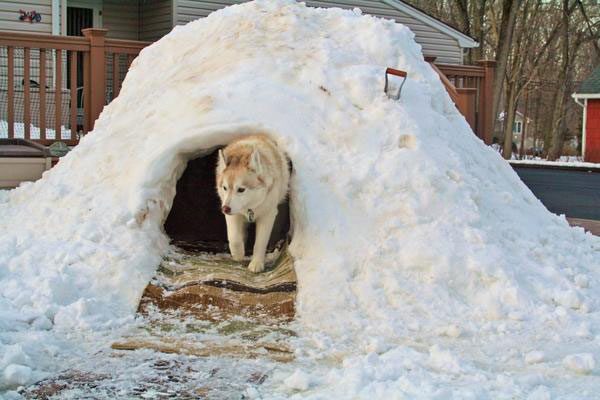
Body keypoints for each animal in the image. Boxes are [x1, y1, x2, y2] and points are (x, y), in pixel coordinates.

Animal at [216, 134, 290, 272]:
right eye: (225, 188)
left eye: (241, 189)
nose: (225, 209)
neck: (250, 208)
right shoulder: (233, 214)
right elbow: (234, 238)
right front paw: (238, 254)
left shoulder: (267, 215)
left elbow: (260, 243)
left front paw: (256, 263)